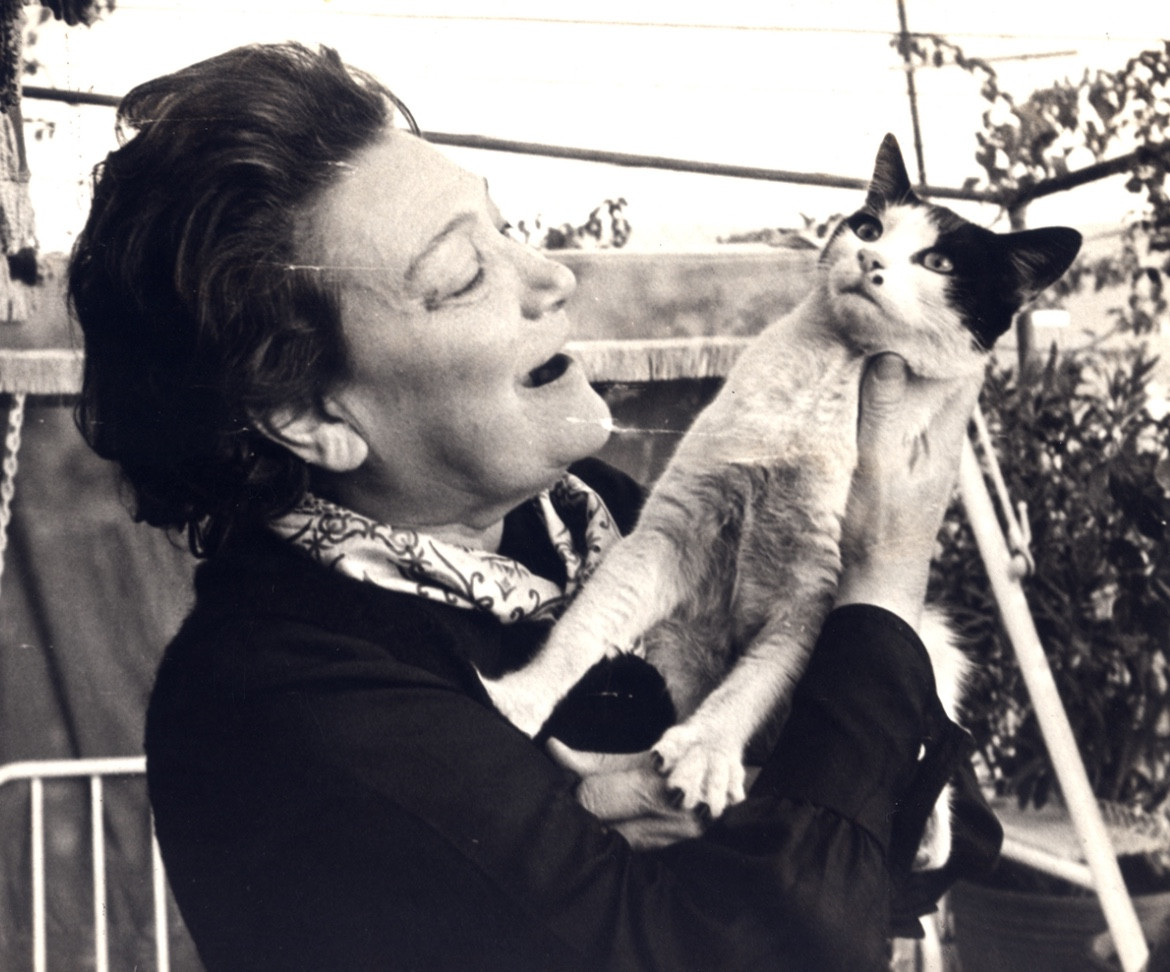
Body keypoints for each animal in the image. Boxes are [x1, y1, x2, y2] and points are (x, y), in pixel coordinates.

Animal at [482, 133, 1076, 860]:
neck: (826, 383)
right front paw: (524, 697)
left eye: (936, 261)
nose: (870, 259)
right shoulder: (673, 532)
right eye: (870, 228)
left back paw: (929, 838)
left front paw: (707, 749)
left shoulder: (813, 593)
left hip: (935, 639)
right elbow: (592, 619)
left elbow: (760, 676)